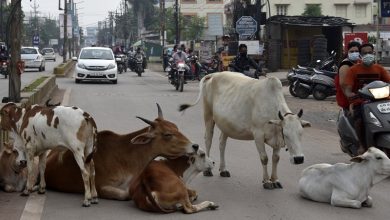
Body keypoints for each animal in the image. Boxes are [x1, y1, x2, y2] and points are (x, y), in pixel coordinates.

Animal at [45, 103, 198, 201]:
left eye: (176, 127)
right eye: (167, 134)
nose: (195, 146)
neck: (126, 154)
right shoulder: (102, 187)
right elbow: (126, 195)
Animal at [180, 72, 310, 189]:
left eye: (301, 133)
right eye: (286, 134)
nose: (298, 159)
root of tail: (214, 74)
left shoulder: (277, 139)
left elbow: (275, 159)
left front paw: (275, 180)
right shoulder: (258, 135)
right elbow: (264, 158)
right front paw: (266, 181)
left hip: (225, 124)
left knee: (222, 144)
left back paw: (223, 169)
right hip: (208, 116)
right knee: (208, 140)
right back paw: (207, 170)